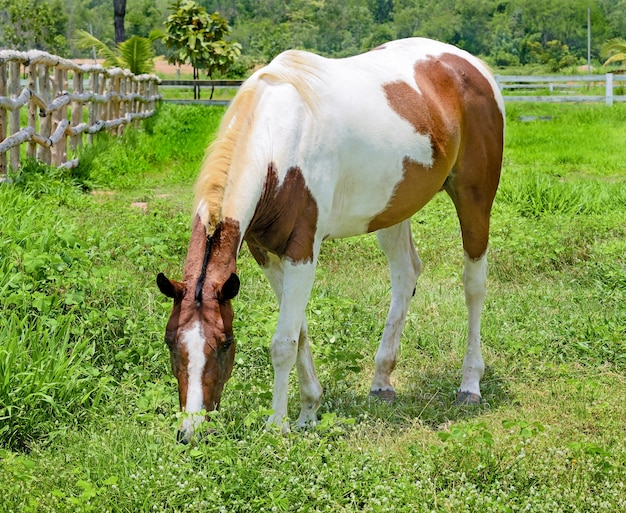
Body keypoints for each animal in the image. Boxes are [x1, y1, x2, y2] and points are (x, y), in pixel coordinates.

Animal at [156, 38, 502, 442]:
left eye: (225, 342)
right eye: (170, 341)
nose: (190, 431)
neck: (277, 147)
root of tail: (469, 63)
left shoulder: (302, 251)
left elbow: (283, 342)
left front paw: (278, 424)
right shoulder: (266, 254)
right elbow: (300, 333)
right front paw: (309, 410)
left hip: (474, 198)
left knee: (474, 285)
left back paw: (469, 384)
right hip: (393, 210)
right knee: (406, 276)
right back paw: (382, 381)